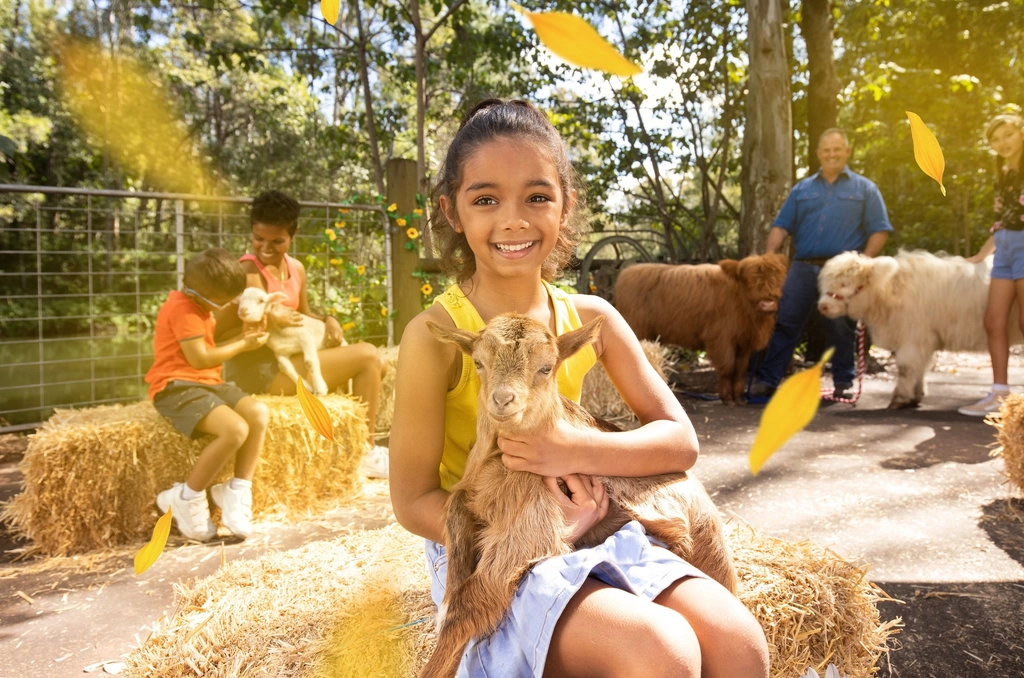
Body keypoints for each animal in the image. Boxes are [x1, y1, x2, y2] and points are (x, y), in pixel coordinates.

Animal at [610, 253, 786, 403]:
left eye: (778, 278)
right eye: (748, 279)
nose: (768, 303)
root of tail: (627, 273)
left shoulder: (744, 342)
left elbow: (739, 369)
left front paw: (738, 397)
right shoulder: (721, 338)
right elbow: (728, 367)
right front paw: (727, 397)